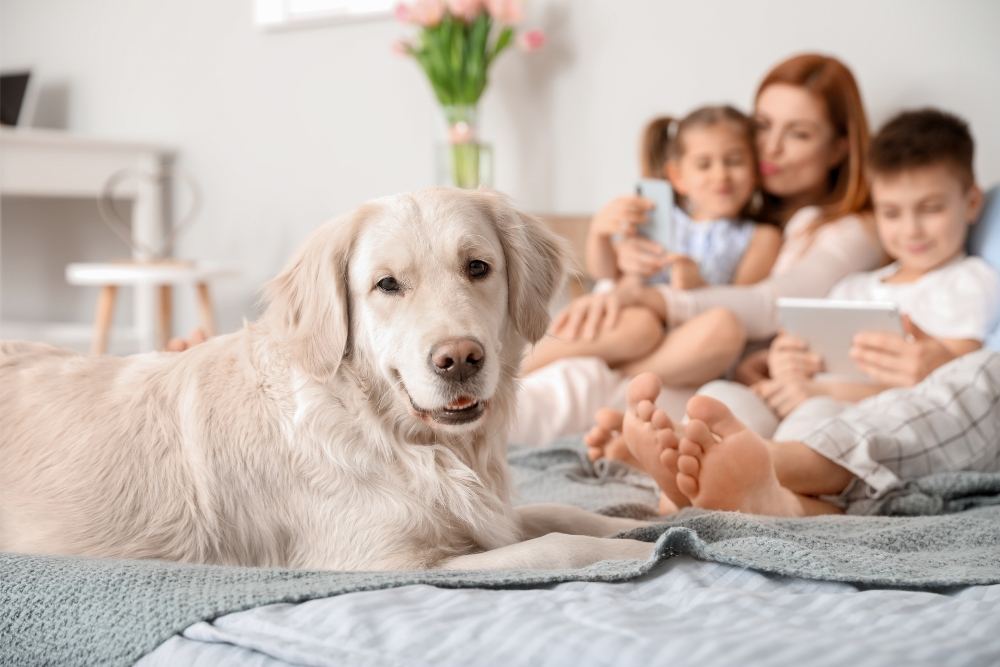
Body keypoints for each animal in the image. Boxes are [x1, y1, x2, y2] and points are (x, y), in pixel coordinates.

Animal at [0, 190, 652, 572]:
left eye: (478, 267)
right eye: (387, 284)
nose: (460, 358)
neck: (388, 431)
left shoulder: (491, 513)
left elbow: (561, 514)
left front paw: (650, 519)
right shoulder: (391, 565)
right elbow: (558, 544)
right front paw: (634, 549)